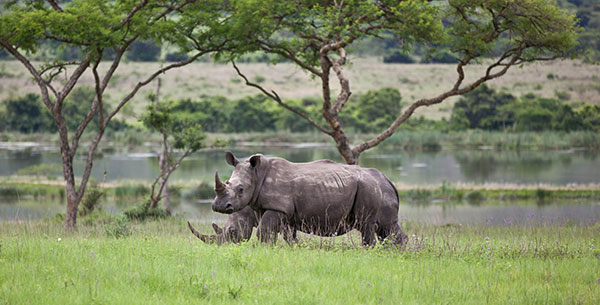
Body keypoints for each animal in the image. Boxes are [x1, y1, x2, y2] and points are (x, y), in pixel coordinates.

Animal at [203, 151, 408, 246]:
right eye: (227, 182)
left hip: (368, 188)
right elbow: (283, 235)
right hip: (376, 189)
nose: (218, 206)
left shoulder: (278, 208)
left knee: (368, 225)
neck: (257, 175)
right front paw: (292, 248)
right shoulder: (275, 210)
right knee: (387, 228)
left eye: (240, 189)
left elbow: (264, 232)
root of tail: (388, 180)